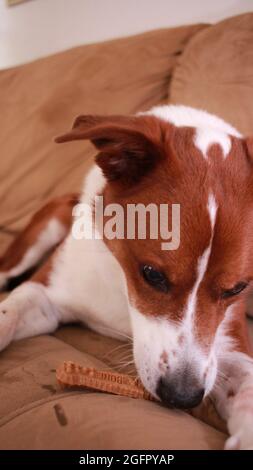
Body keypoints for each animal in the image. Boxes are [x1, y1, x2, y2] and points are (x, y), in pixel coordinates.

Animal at [0, 104, 253, 450]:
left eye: (237, 289)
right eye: (152, 275)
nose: (181, 396)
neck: (123, 290)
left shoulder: (228, 343)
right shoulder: (45, 295)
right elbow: (9, 311)